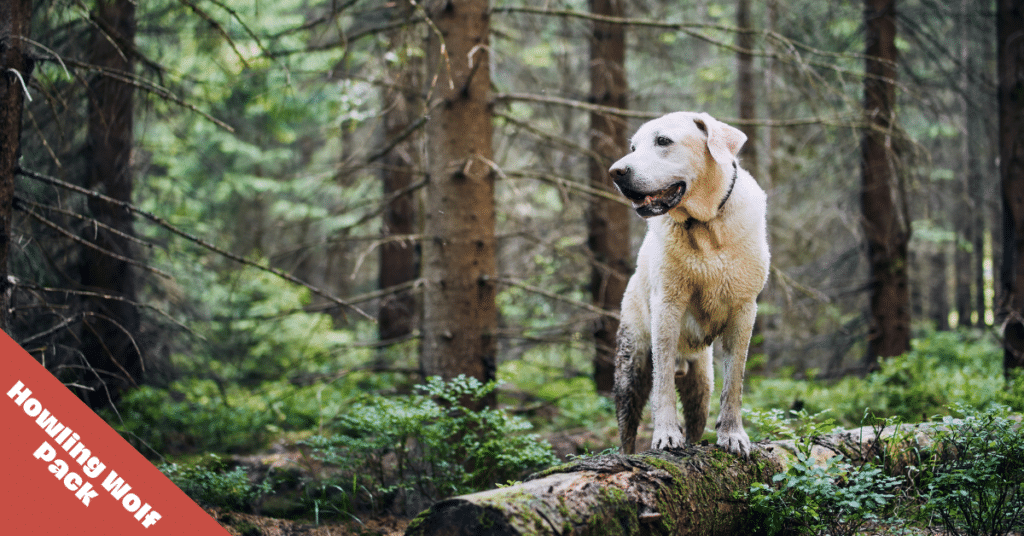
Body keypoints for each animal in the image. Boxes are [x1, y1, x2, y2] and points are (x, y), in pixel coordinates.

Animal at [606, 111, 770, 459]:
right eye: (633, 147)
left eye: (662, 141)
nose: (616, 171)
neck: (706, 227)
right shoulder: (667, 307)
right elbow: (663, 383)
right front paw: (666, 434)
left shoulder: (744, 310)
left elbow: (734, 382)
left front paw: (733, 435)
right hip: (631, 366)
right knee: (627, 429)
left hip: (701, 384)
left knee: (698, 415)